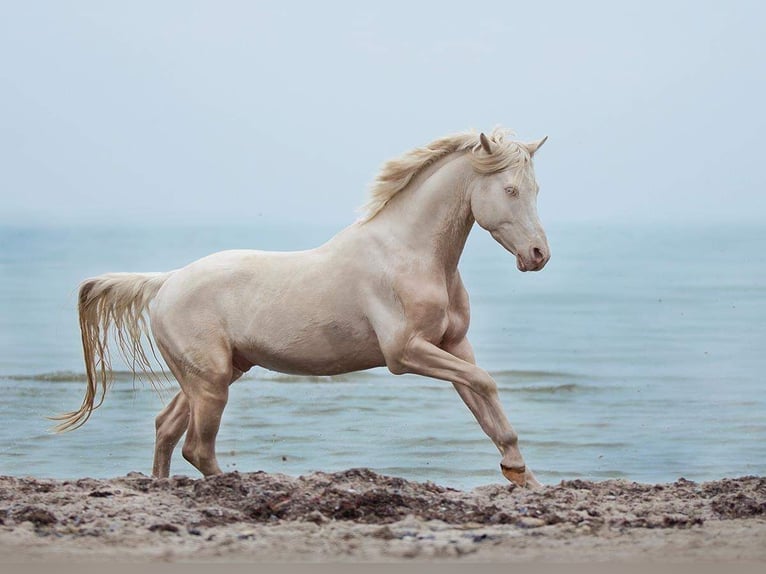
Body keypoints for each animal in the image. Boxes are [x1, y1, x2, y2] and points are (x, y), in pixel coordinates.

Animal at [55, 130, 552, 490]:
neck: (408, 254)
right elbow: (485, 384)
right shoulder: (406, 353)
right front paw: (516, 470)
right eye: (509, 189)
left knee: (166, 428)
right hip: (211, 382)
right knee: (196, 446)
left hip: (215, 375)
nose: (538, 255)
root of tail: (166, 282)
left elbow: (484, 399)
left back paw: (160, 487)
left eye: (535, 190)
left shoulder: (454, 346)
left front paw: (521, 473)